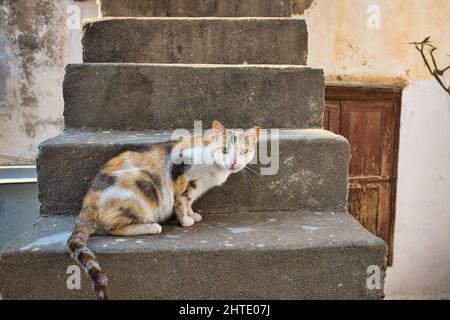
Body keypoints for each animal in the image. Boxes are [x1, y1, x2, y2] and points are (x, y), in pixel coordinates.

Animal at [65, 120, 258, 300]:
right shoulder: (181, 174)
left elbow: (189, 202)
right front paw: (185, 220)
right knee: (111, 228)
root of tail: (87, 203)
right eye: (224, 149)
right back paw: (152, 227)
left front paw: (192, 214)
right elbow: (182, 201)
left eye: (243, 152)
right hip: (143, 182)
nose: (233, 162)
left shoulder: (196, 186)